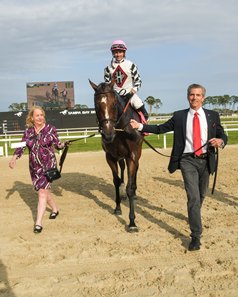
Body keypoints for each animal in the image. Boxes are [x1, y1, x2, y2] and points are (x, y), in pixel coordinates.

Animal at [89, 79, 144, 231]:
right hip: (120, 157)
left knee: (135, 171)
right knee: (122, 170)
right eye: (96, 105)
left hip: (137, 154)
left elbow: (130, 187)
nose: (108, 134)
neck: (121, 130)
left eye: (114, 104)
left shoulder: (132, 156)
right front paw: (118, 207)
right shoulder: (110, 157)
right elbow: (116, 181)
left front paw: (132, 222)